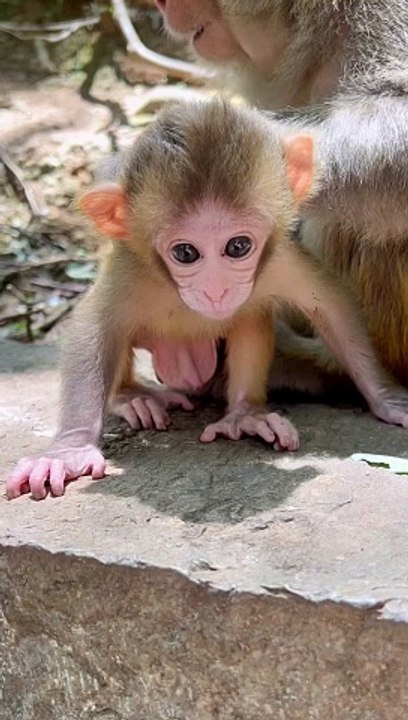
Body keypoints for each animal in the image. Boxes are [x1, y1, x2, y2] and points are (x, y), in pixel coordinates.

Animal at [7, 98, 408, 501]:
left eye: (238, 246)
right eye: (185, 253)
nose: (216, 291)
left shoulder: (279, 261)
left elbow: (330, 307)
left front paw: (388, 399)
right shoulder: (132, 270)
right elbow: (94, 329)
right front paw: (69, 451)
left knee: (250, 316)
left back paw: (245, 414)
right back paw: (132, 396)